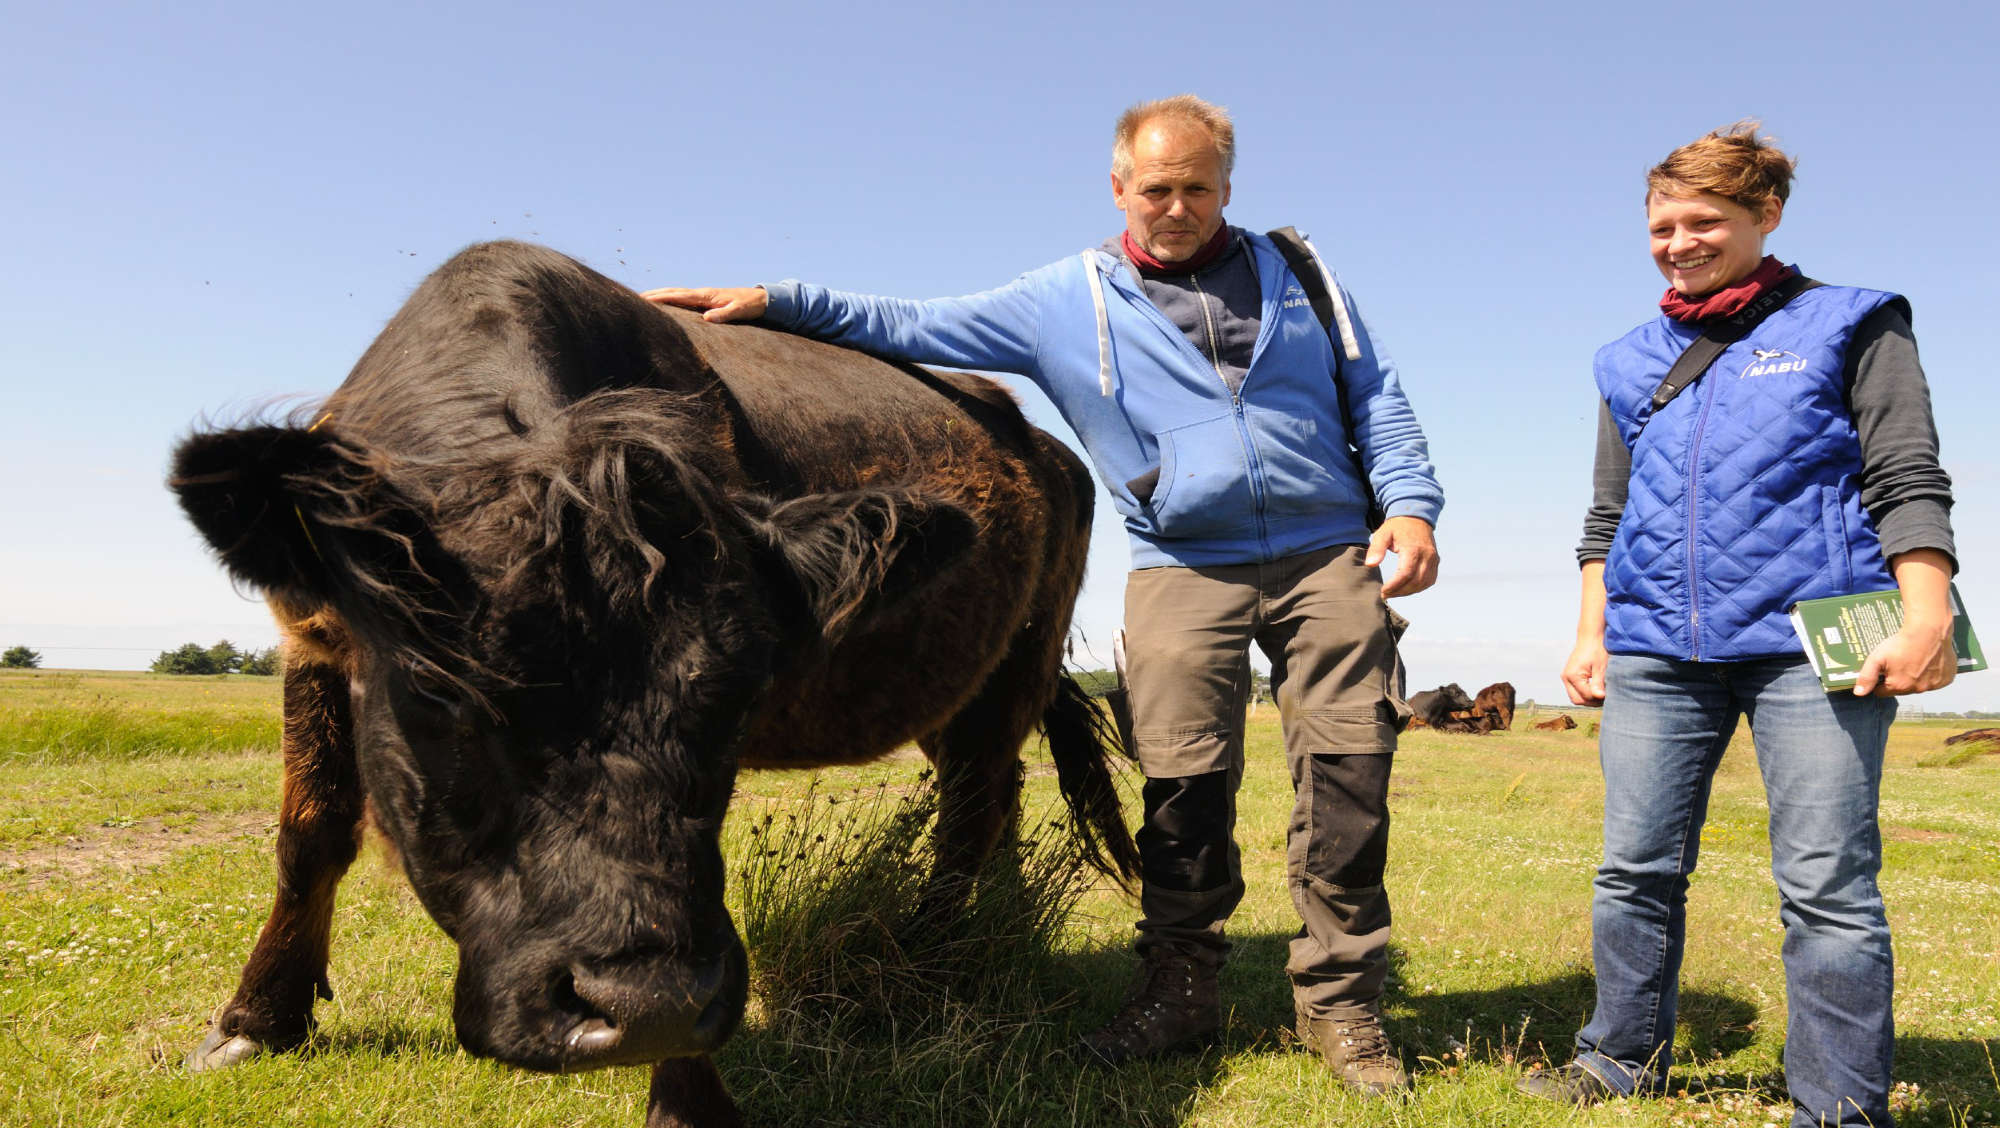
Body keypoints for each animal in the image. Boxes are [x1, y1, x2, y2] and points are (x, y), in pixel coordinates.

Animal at [168, 245, 1144, 1128]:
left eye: (742, 698)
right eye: (438, 691)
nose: (646, 1006)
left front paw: (689, 1098)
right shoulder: (313, 645)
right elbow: (312, 830)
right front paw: (256, 1019)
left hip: (1019, 663)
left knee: (973, 806)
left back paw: (933, 960)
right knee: (992, 793)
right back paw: (995, 927)